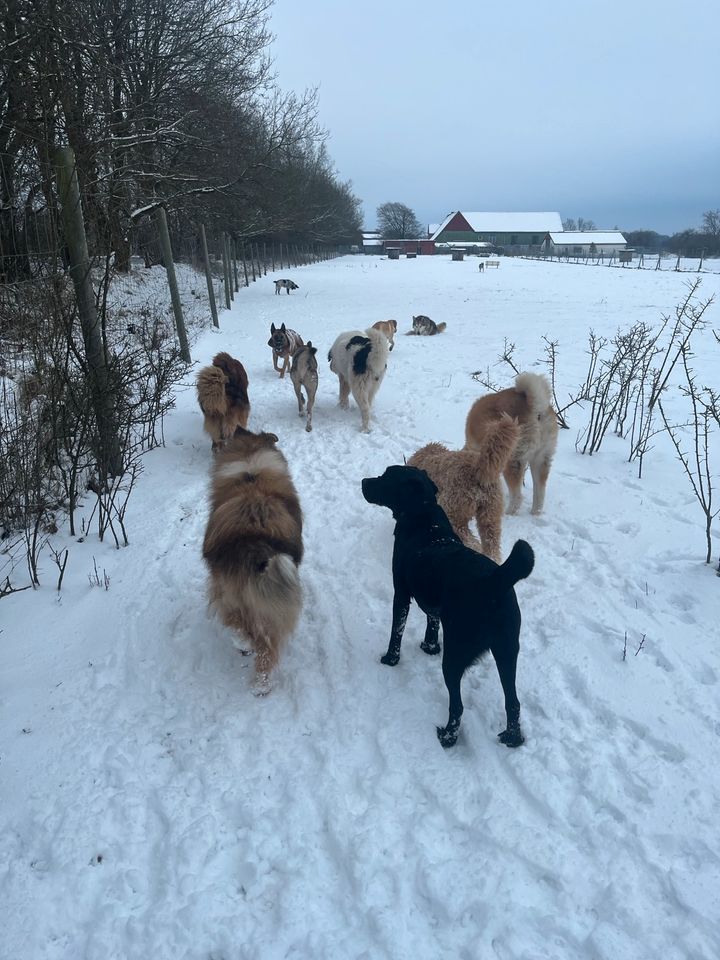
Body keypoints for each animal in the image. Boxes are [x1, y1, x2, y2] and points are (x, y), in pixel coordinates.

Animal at [201, 430, 302, 696]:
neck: (251, 474)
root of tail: (255, 544)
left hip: (229, 593)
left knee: (242, 628)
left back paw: (247, 655)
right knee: (265, 645)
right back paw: (260, 684)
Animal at [464, 372, 560, 516]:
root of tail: (536, 409)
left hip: (512, 460)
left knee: (517, 497)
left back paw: (508, 512)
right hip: (541, 459)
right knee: (540, 494)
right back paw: (534, 513)